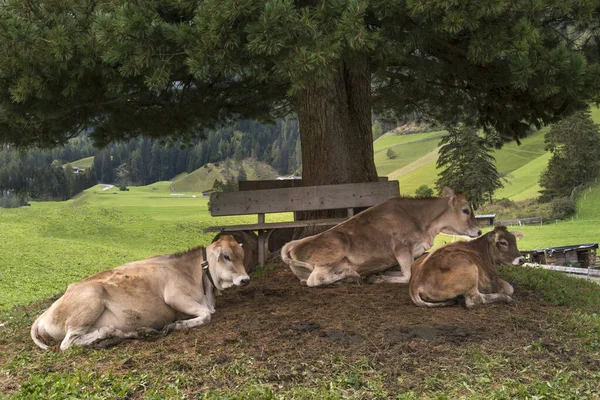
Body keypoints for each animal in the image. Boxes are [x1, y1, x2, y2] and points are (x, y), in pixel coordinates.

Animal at [31, 234, 248, 350]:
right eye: (226, 256)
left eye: (242, 255)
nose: (245, 279)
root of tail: (43, 316)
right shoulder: (175, 296)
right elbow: (206, 315)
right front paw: (176, 325)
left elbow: (207, 312)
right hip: (90, 301)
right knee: (68, 343)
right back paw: (107, 333)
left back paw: (134, 332)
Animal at [278, 188, 480, 288]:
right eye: (466, 210)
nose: (479, 231)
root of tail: (294, 245)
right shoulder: (401, 248)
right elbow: (408, 275)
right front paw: (380, 278)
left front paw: (381, 274)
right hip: (333, 251)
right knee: (315, 280)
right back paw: (350, 274)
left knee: (309, 280)